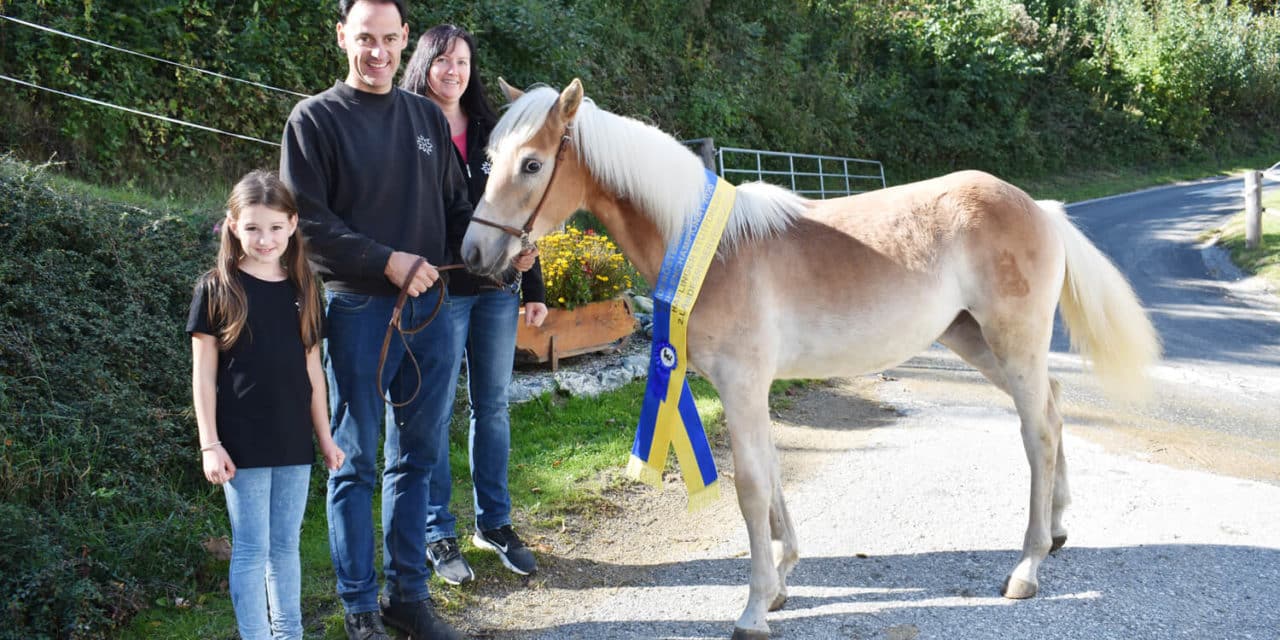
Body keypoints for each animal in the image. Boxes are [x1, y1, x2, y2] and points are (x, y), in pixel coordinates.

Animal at [463, 80, 1162, 640]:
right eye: (489, 160)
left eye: (532, 164)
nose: (471, 255)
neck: (711, 250)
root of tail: (1036, 207)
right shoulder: (748, 389)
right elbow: (772, 473)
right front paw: (779, 585)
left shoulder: (743, 385)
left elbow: (749, 487)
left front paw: (753, 609)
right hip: (977, 342)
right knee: (1055, 410)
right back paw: (1060, 529)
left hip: (1011, 344)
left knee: (1037, 432)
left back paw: (1026, 568)